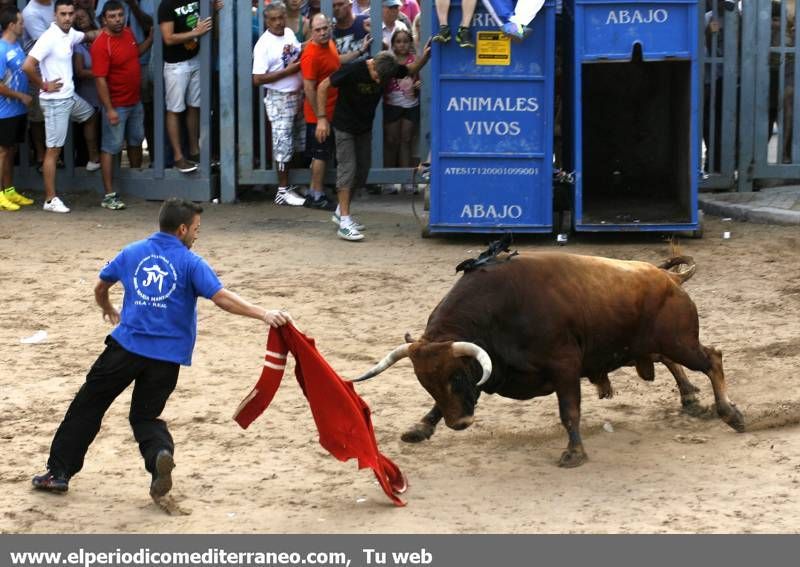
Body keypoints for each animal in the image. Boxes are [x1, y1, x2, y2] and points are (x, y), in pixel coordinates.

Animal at [354, 252, 748, 466]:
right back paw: (691, 398)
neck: (500, 311)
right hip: (653, 343)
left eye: (456, 377)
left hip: (679, 340)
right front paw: (420, 428)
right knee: (672, 361)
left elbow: (569, 411)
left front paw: (574, 453)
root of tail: (668, 277)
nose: (460, 424)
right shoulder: (488, 367)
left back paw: (730, 414)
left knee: (712, 358)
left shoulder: (564, 367)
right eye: (426, 383)